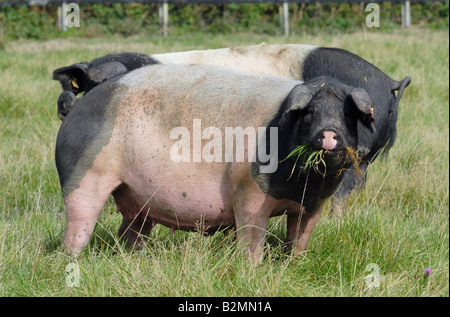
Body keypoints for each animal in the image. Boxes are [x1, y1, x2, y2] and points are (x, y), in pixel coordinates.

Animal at [54, 63, 374, 260]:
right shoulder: (247, 191)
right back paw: (72, 261)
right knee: (79, 223)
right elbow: (252, 239)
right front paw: (252, 270)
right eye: (310, 113)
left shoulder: (314, 204)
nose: (329, 133)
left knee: (130, 231)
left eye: (347, 115)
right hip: (84, 174)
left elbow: (299, 239)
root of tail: (79, 108)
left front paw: (295, 263)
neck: (302, 185)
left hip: (136, 196)